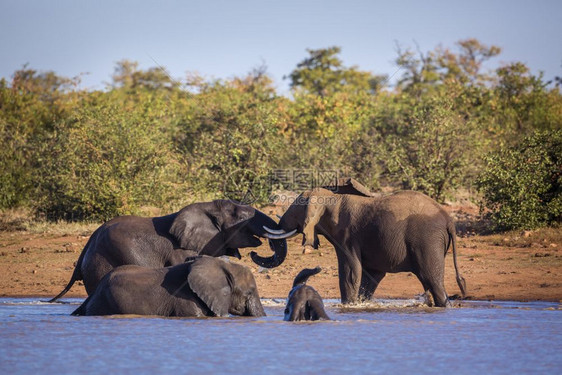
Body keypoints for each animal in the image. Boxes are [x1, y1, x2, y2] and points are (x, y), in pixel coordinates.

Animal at [49, 200, 294, 302]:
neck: (205, 208)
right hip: (103, 261)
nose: (256, 253)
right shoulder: (181, 250)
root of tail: (87, 245)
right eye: (243, 218)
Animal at [264, 184, 466, 306]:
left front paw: (349, 305)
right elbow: (371, 276)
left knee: (432, 279)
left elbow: (350, 272)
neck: (332, 198)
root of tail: (448, 219)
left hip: (427, 241)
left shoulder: (347, 237)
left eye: (295, 208)